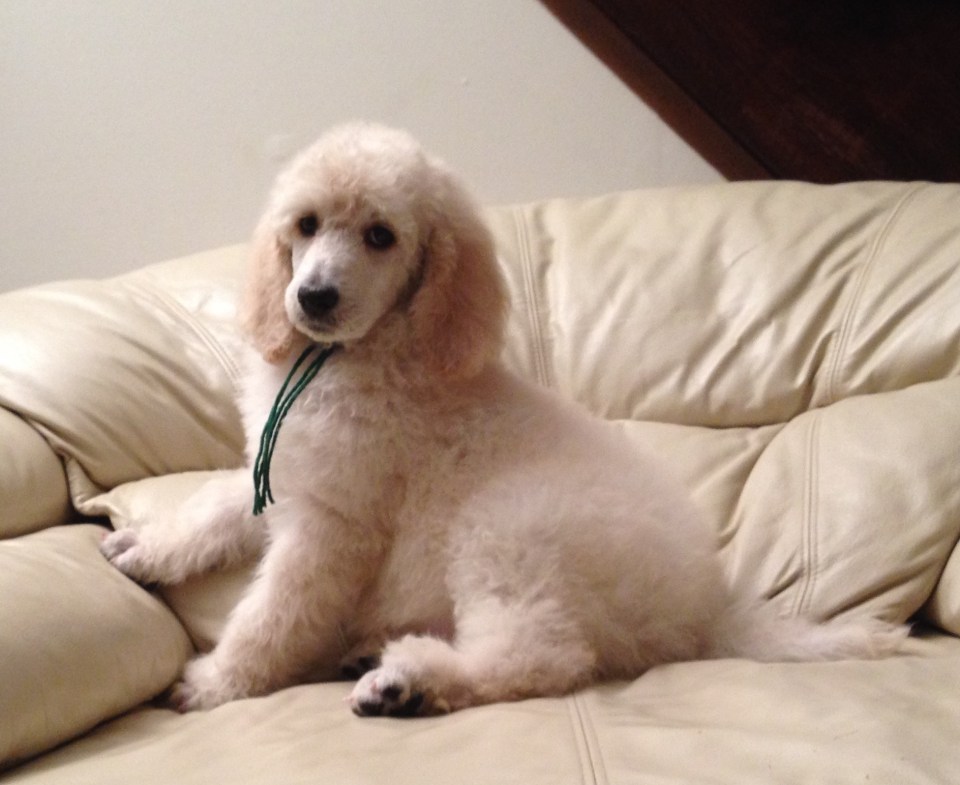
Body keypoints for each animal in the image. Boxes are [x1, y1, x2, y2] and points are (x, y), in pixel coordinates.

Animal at [101, 123, 907, 716]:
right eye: (305, 225)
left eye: (380, 236)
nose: (313, 297)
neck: (351, 360)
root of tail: (707, 613)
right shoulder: (287, 476)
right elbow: (214, 503)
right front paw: (148, 547)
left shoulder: (334, 524)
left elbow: (274, 610)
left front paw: (219, 681)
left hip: (507, 530)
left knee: (546, 656)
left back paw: (410, 681)